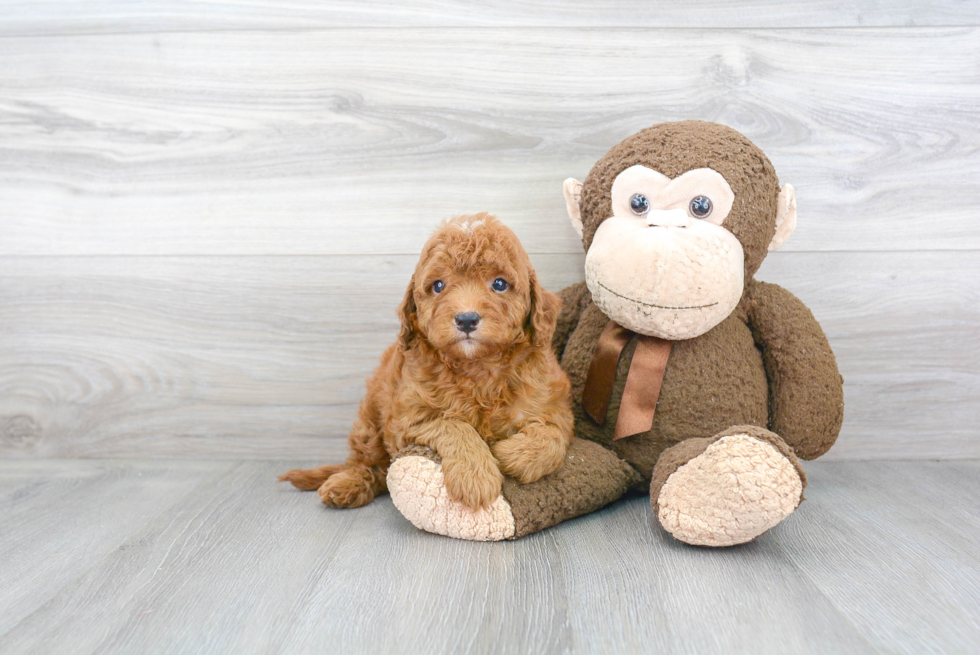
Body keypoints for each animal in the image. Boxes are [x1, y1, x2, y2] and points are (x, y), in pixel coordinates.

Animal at [280, 213, 576, 510]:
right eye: (438, 286)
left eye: (500, 284)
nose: (466, 319)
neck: (478, 368)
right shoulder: (407, 419)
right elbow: (453, 425)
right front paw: (475, 477)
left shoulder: (551, 405)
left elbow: (552, 438)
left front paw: (510, 453)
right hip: (370, 419)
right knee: (368, 462)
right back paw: (347, 484)